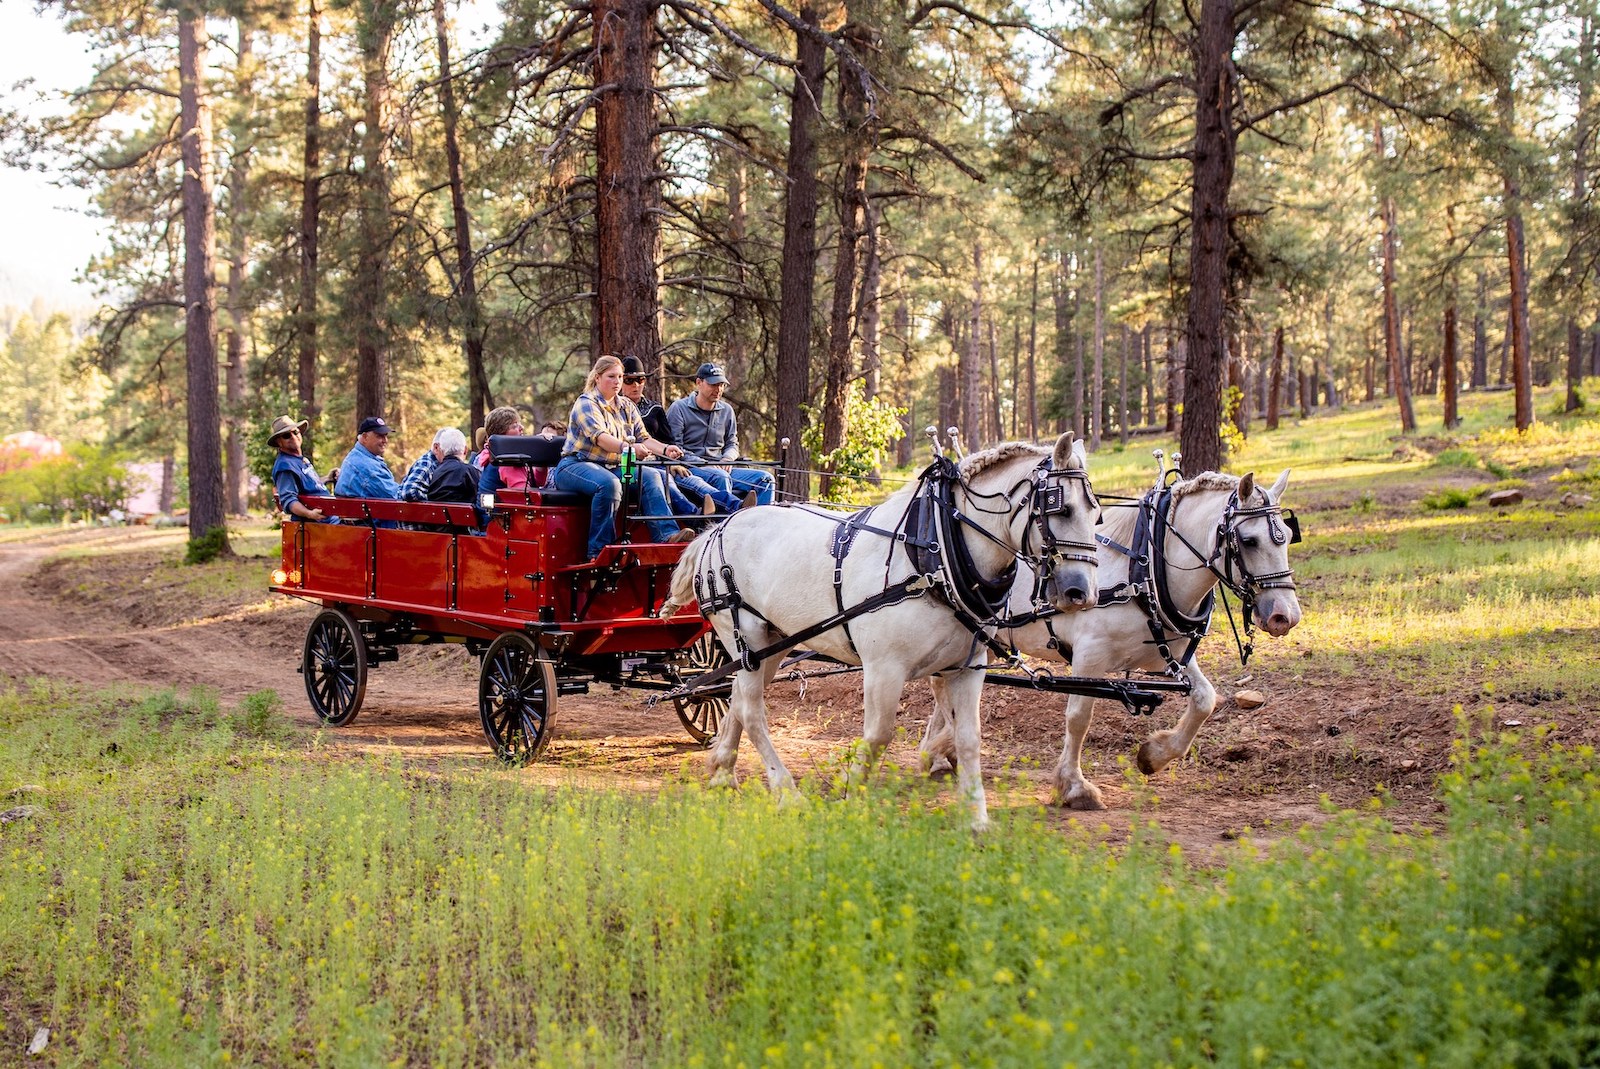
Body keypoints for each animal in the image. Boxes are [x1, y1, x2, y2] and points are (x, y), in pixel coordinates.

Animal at [662, 432, 1100, 825]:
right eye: (1061, 509)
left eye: (1096, 515)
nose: (1082, 592)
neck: (934, 553)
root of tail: (717, 529)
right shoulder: (883, 668)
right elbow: (878, 736)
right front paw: (848, 789)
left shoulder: (966, 667)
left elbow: (969, 739)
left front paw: (976, 818)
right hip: (744, 635)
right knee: (752, 710)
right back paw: (786, 790)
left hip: (774, 642)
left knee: (735, 695)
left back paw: (722, 770)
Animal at [928, 467, 1299, 809]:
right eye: (1249, 541)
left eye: (1286, 537)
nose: (1286, 616)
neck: (1143, 573)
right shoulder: (1089, 655)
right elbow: (1079, 718)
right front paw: (1074, 786)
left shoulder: (1171, 654)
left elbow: (1204, 700)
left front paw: (1154, 754)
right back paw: (940, 749)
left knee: (942, 683)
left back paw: (941, 751)